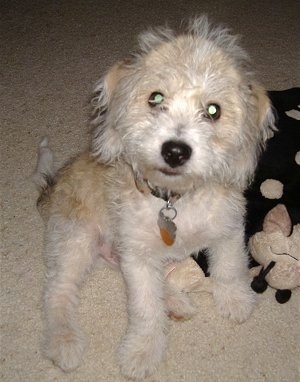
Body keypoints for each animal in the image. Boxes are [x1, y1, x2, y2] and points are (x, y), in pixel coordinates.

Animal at [34, 16, 276, 380]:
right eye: (156, 98)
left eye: (213, 111)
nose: (175, 151)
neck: (175, 200)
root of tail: (50, 188)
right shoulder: (138, 257)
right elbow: (145, 308)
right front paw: (143, 351)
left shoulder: (229, 229)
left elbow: (230, 266)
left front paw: (236, 301)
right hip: (76, 240)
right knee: (57, 293)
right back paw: (64, 341)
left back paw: (177, 303)